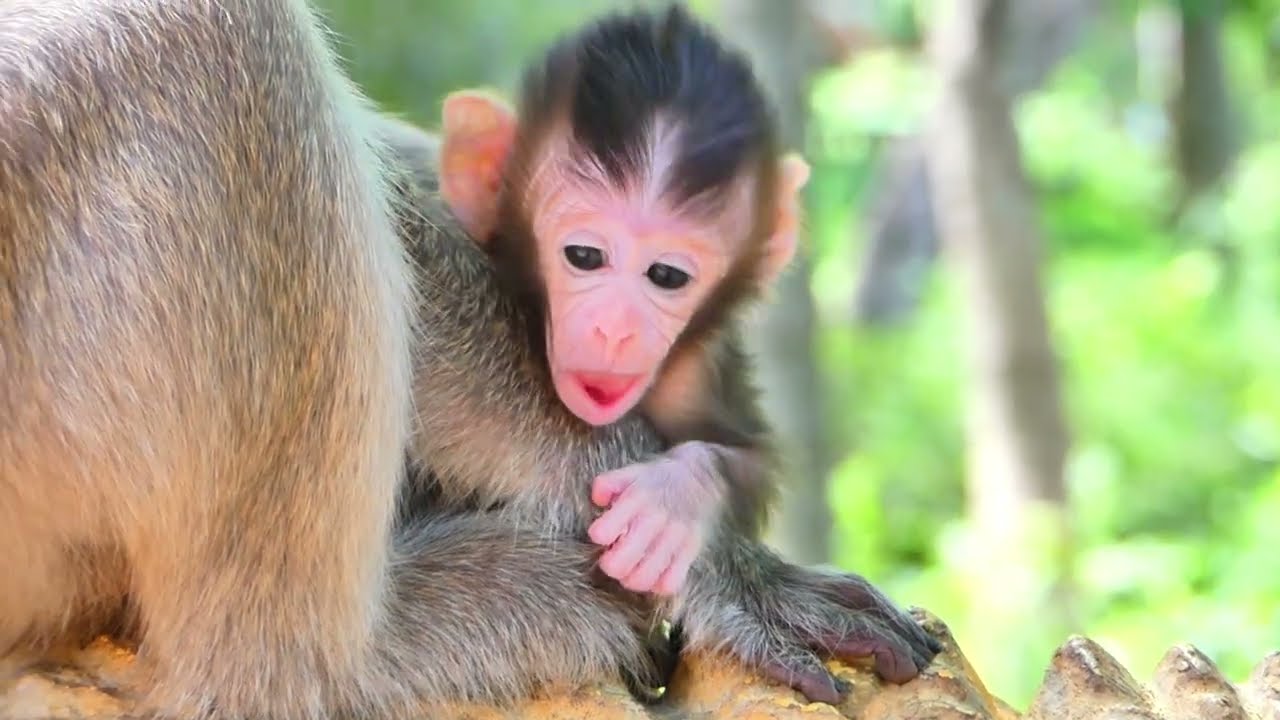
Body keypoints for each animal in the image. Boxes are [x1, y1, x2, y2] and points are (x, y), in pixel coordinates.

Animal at [0, 2, 938, 717]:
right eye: (584, 257)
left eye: (668, 275)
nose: (615, 332)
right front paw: (704, 547)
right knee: (214, 27)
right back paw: (336, 663)